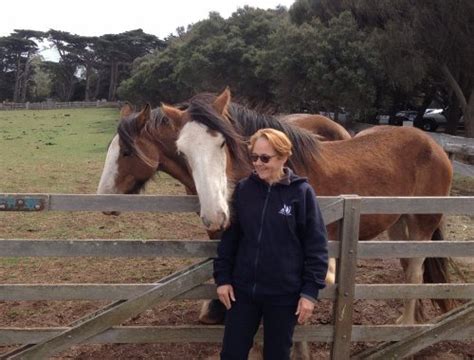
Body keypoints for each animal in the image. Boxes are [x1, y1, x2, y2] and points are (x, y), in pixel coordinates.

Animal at [160, 88, 456, 326]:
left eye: (222, 142)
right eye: (182, 152)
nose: (214, 217)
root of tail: (434, 146)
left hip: (422, 223)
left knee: (415, 272)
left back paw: (405, 325)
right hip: (398, 223)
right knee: (407, 268)